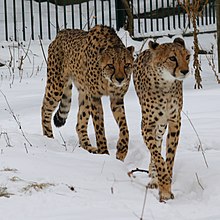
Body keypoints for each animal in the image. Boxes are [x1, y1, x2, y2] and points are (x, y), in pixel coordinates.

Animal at [41, 24, 134, 161]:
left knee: (79, 124)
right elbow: (99, 127)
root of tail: (62, 32)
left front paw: (121, 150)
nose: (120, 79)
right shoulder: (95, 97)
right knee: (45, 108)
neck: (107, 80)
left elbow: (124, 127)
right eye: (111, 65)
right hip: (56, 85)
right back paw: (49, 138)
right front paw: (104, 152)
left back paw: (89, 147)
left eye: (127, 65)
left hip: (84, 94)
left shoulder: (116, 98)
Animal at [133, 37, 190, 201]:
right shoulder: (146, 125)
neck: (166, 83)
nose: (185, 71)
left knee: (158, 141)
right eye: (172, 58)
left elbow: (169, 156)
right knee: (155, 148)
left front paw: (166, 183)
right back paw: (154, 178)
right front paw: (164, 187)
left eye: (187, 57)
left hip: (162, 125)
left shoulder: (174, 121)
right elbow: (158, 156)